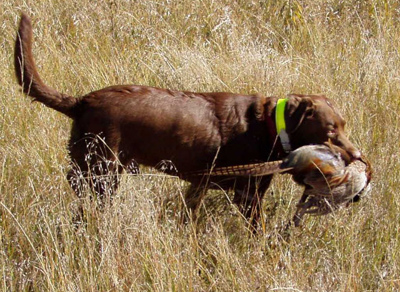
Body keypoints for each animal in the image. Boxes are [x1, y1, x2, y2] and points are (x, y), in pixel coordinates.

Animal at [14, 13, 360, 227]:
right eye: (330, 131)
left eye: (344, 125)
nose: (356, 156)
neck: (268, 125)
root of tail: (81, 101)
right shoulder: (248, 196)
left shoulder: (200, 184)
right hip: (102, 173)